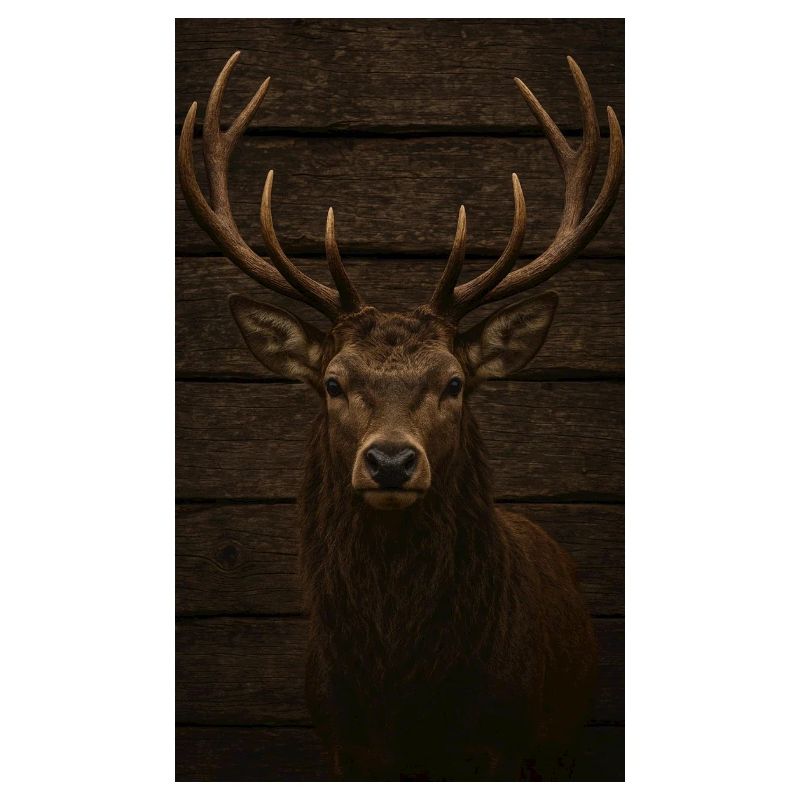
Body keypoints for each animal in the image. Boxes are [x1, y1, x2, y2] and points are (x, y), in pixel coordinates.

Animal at [178, 52, 623, 781]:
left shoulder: (505, 747)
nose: (390, 460)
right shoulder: (340, 745)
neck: (404, 701)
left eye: (455, 382)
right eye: (332, 382)